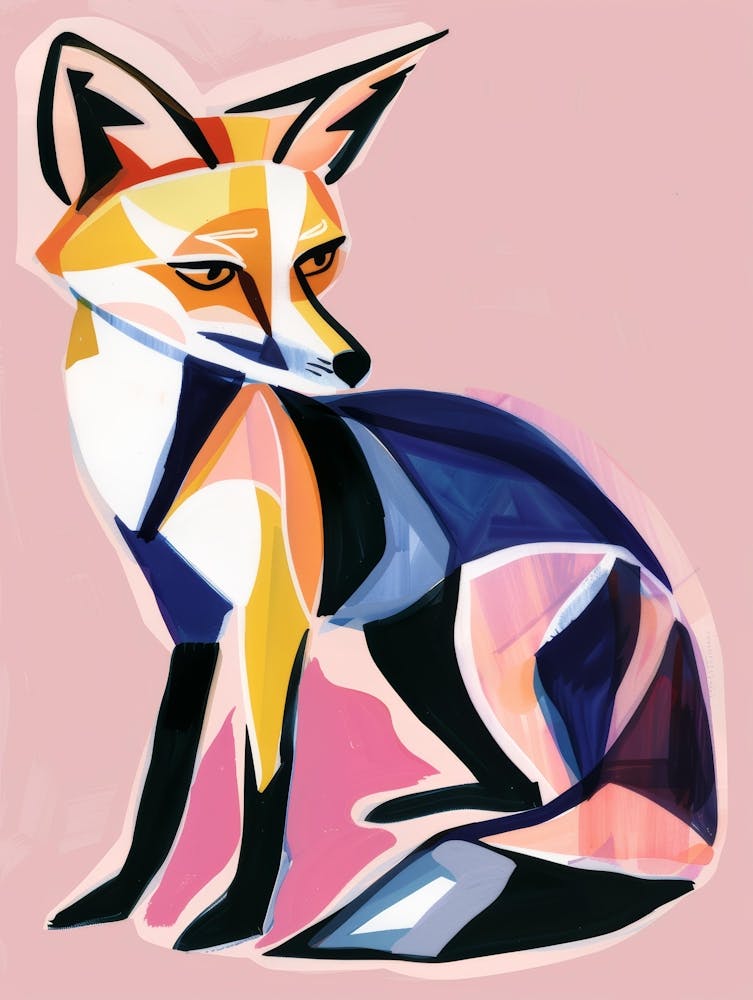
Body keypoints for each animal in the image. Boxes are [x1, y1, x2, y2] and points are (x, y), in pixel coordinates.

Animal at [20, 20, 721, 970]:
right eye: (210, 273)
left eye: (317, 258)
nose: (351, 365)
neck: (171, 446)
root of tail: (641, 550)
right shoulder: (186, 619)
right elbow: (163, 777)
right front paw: (116, 900)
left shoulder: (271, 620)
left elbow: (265, 780)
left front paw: (232, 921)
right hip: (410, 646)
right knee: (511, 782)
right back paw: (420, 808)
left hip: (487, 664)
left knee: (546, 793)